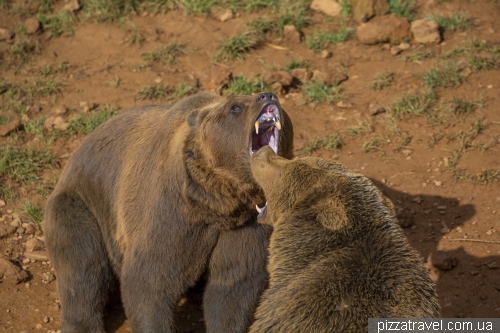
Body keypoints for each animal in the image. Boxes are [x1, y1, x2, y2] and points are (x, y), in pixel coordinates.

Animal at [44, 91, 292, 332]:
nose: (267, 95)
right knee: (82, 265)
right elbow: (149, 281)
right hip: (83, 203)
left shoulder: (247, 222)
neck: (219, 203)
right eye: (236, 107)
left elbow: (233, 286)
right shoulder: (170, 214)